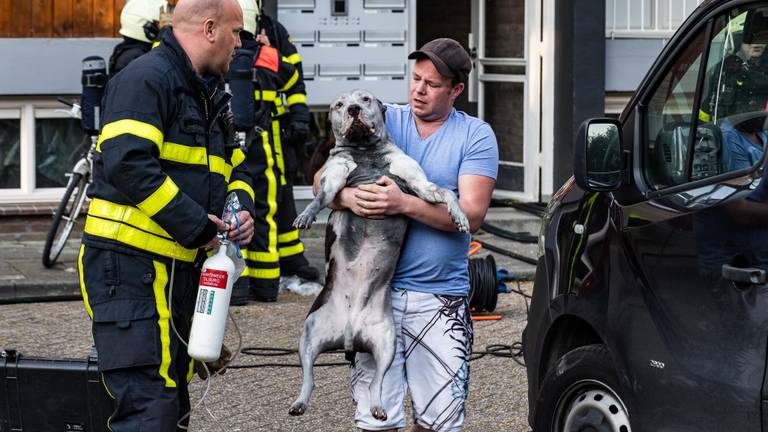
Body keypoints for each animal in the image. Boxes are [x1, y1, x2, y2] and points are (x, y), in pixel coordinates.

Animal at [288, 89, 468, 420]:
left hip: (386, 344)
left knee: (376, 384)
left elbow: (446, 192)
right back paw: (300, 402)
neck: (365, 152)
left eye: (366, 99)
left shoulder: (420, 185)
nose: (354, 109)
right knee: (309, 378)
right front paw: (305, 214)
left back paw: (377, 407)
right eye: (339, 104)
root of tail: (349, 330)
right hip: (308, 335)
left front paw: (459, 216)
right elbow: (320, 198)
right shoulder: (334, 179)